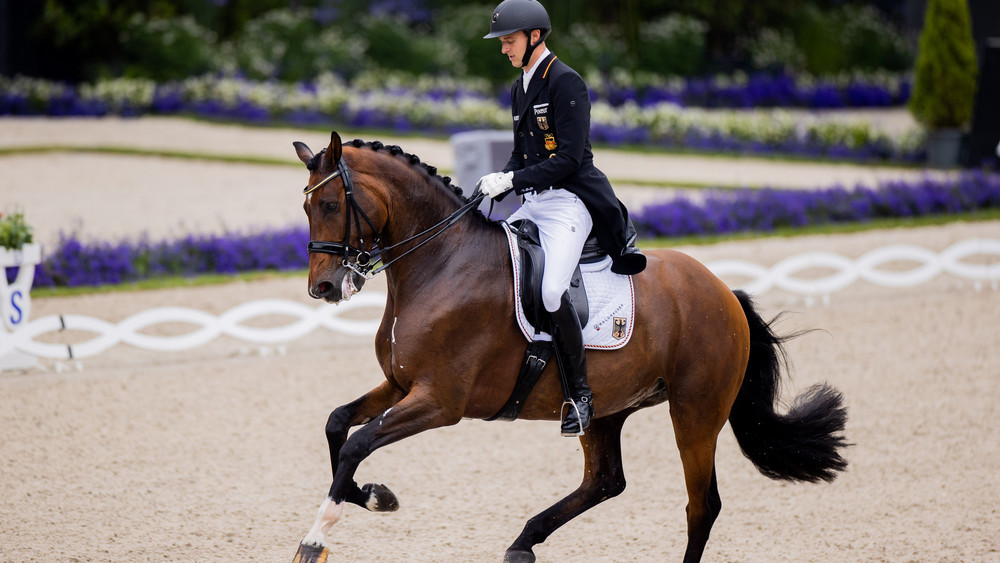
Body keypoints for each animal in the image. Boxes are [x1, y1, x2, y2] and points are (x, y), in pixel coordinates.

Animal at [290, 133, 852, 563]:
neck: (440, 262)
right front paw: (375, 496)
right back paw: (523, 543)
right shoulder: (401, 384)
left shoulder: (439, 402)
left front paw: (316, 538)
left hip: (695, 412)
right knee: (605, 481)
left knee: (701, 506)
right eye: (306, 205)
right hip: (605, 408)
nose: (322, 288)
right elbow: (338, 424)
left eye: (331, 205)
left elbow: (358, 444)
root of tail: (723, 291)